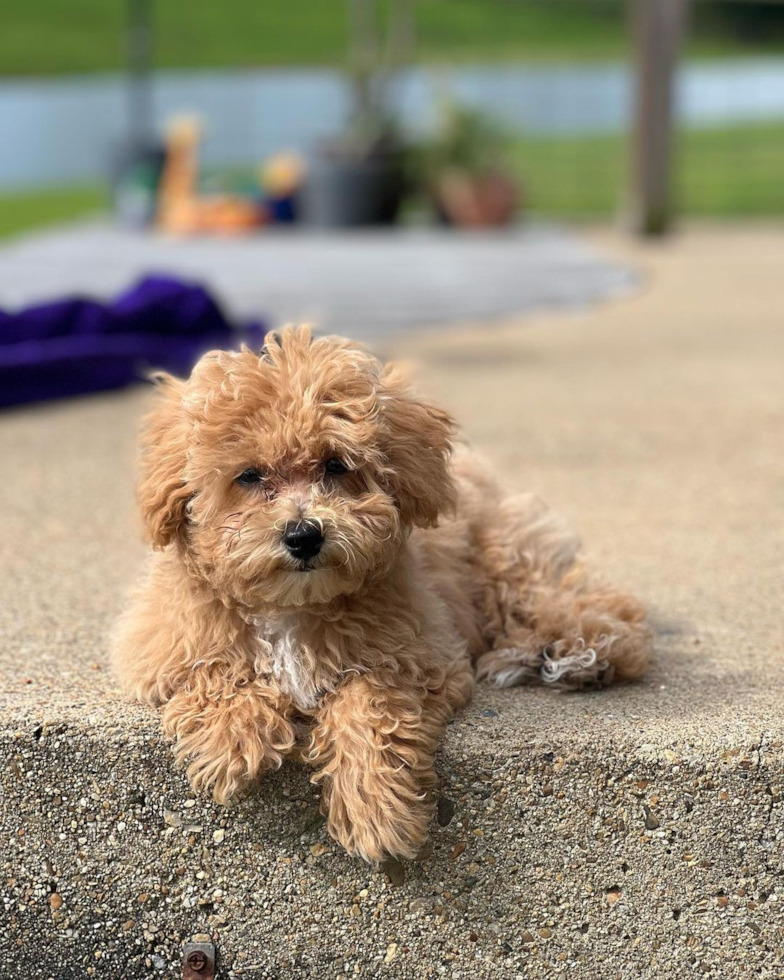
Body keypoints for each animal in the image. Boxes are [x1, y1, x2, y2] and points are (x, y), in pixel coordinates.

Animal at [112, 326, 648, 860]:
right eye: (249, 475)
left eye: (335, 465)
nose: (303, 535)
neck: (291, 607)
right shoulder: (161, 644)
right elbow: (214, 665)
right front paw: (234, 734)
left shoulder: (421, 655)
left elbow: (368, 701)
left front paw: (375, 809)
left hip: (506, 557)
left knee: (574, 600)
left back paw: (585, 652)